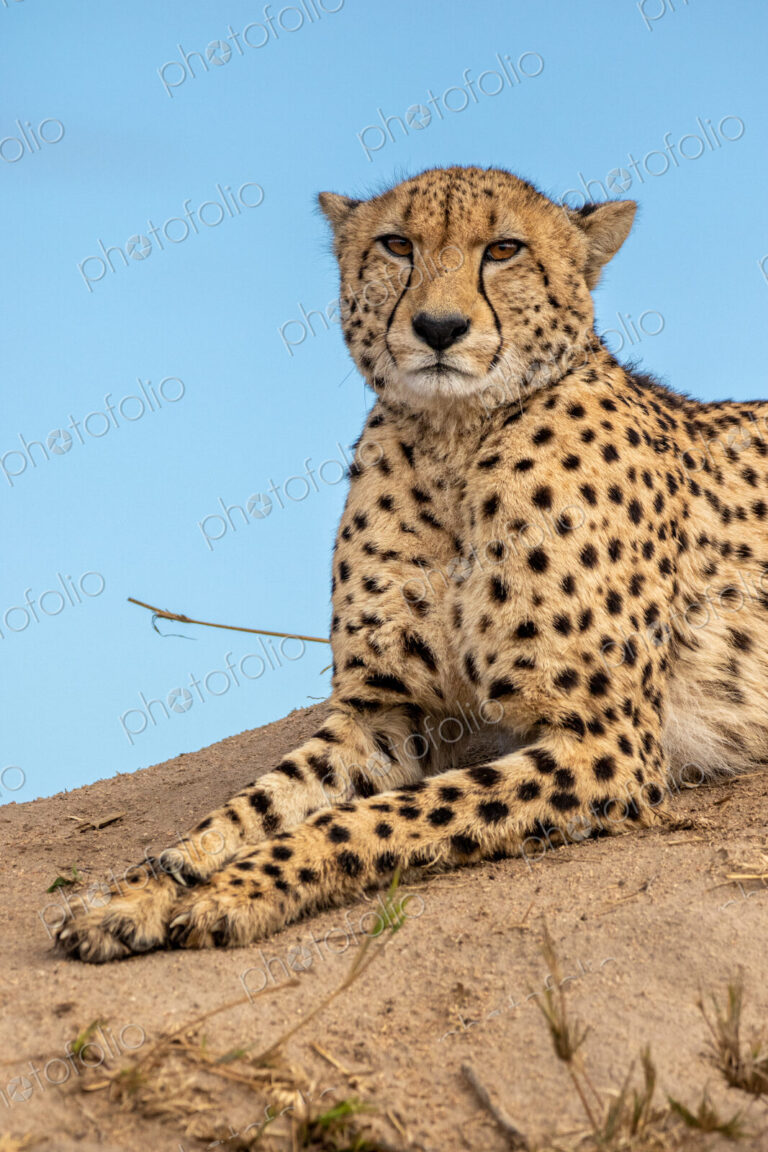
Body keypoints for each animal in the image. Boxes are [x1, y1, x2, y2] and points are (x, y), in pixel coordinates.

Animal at [55, 164, 768, 963]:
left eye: (504, 249)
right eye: (398, 245)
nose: (438, 328)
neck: (454, 444)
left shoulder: (603, 741)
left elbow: (376, 817)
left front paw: (240, 889)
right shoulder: (385, 712)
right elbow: (252, 805)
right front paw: (138, 890)